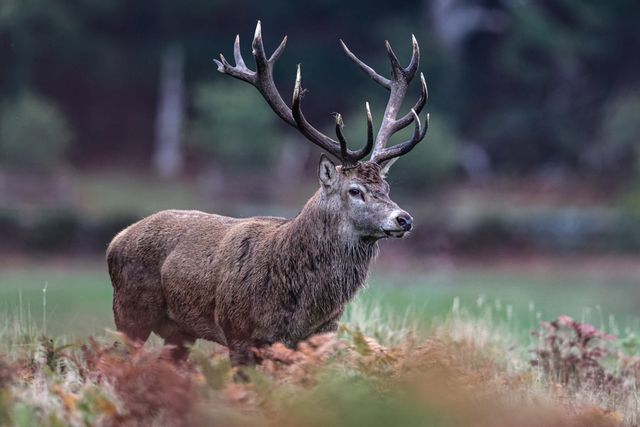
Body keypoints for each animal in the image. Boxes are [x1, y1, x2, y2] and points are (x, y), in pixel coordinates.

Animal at [107, 21, 429, 365]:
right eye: (355, 190)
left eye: (386, 187)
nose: (404, 219)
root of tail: (115, 241)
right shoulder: (237, 333)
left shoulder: (319, 337)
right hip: (129, 310)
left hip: (180, 331)